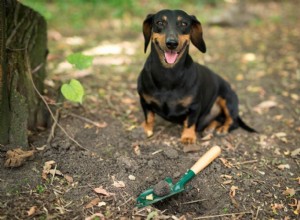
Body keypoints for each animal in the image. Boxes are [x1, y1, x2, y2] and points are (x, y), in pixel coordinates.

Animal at [137, 9, 254, 144]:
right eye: (160, 22)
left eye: (183, 23)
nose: (172, 43)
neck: (168, 75)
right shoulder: (144, 101)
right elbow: (149, 117)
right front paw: (146, 129)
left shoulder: (195, 106)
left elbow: (190, 122)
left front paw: (188, 137)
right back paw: (210, 128)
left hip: (228, 99)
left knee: (232, 121)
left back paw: (222, 129)